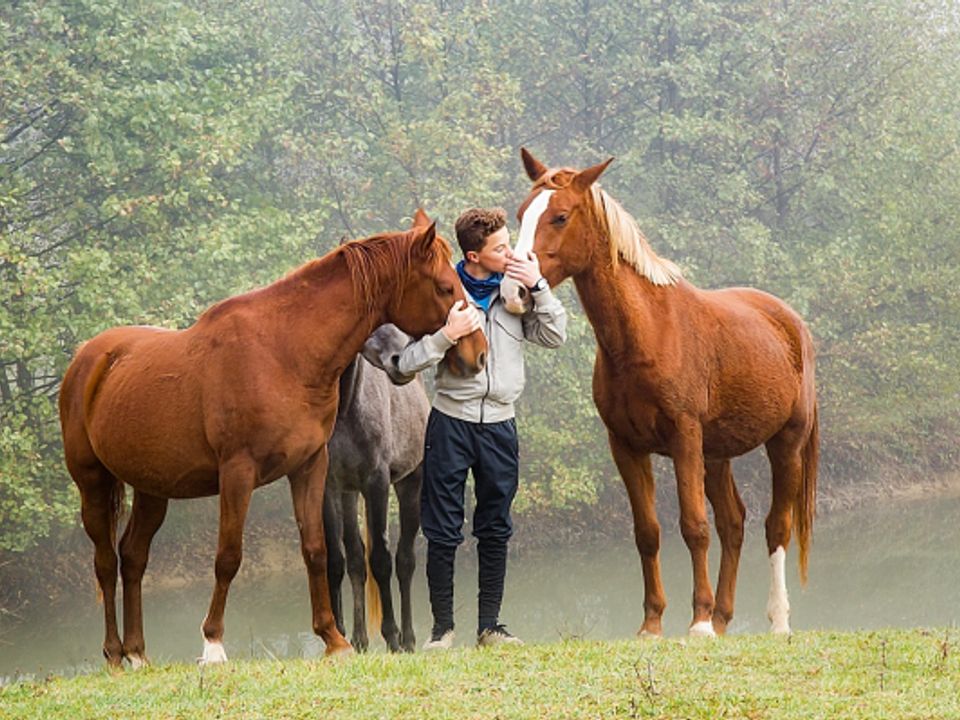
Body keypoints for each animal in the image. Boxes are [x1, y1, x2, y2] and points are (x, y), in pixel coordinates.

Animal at [324, 324, 426, 652]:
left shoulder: (377, 482)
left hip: (409, 485)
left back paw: (407, 640)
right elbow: (336, 561)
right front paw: (337, 638)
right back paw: (358, 640)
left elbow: (381, 560)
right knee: (356, 559)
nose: (401, 357)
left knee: (405, 561)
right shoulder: (327, 486)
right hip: (348, 494)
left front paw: (392, 636)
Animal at [512, 150, 820, 636]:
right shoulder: (626, 446)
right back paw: (723, 620)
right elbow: (648, 532)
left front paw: (697, 624)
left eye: (560, 216)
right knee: (734, 523)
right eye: (521, 214)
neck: (647, 333)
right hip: (718, 455)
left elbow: (693, 526)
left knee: (776, 527)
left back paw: (775, 622)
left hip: (784, 444)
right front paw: (653, 625)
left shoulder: (684, 439)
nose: (516, 291)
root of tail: (791, 321)